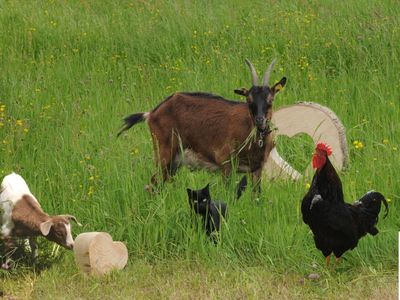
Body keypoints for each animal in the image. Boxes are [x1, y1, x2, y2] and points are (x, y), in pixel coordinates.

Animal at [117, 59, 286, 191]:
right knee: (152, 184)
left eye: (270, 100)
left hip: (174, 162)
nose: (260, 120)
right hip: (163, 153)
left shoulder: (257, 169)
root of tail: (151, 113)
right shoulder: (225, 163)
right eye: (249, 100)